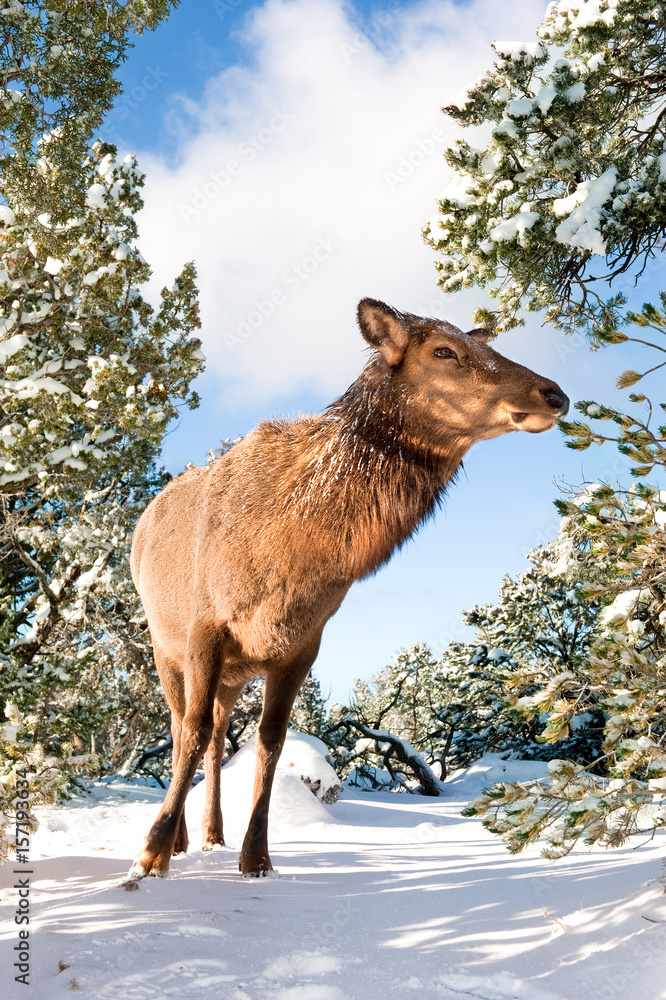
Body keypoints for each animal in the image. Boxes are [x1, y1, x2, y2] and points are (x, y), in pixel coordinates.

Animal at [128, 300, 564, 880]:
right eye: (443, 351)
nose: (554, 394)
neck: (295, 556)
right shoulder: (206, 625)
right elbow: (192, 734)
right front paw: (150, 854)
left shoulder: (302, 643)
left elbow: (271, 742)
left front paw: (256, 859)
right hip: (164, 645)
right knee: (184, 728)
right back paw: (179, 839)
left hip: (233, 674)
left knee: (219, 733)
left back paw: (213, 834)